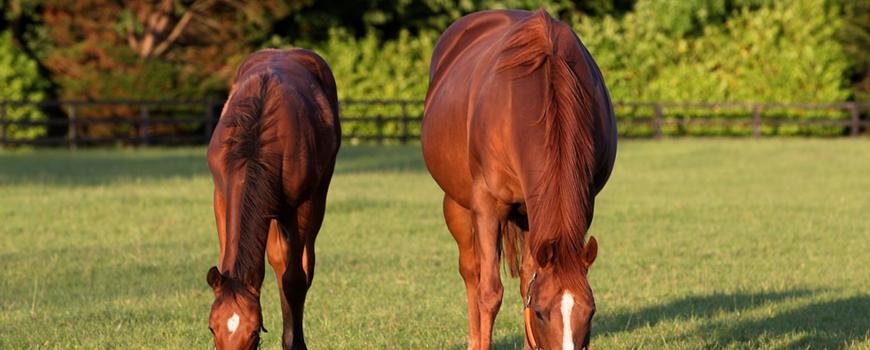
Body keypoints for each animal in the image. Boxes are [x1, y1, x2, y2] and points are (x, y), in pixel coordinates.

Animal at [204, 49, 340, 350]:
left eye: (255, 332)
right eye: (211, 328)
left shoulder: (301, 207)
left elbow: (294, 279)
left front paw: (294, 343)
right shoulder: (221, 198)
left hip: (317, 197)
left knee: (302, 266)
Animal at [424, 8, 620, 350]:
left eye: (591, 311)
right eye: (540, 312)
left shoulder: (569, 206)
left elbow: (528, 280)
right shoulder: (488, 206)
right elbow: (490, 293)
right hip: (457, 205)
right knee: (471, 272)